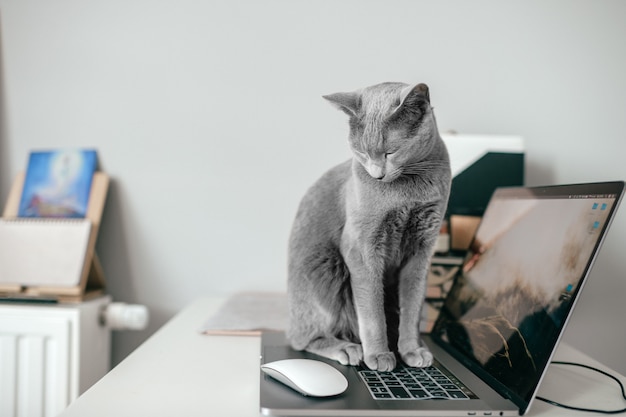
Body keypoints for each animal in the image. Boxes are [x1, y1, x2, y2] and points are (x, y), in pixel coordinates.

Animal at [288, 81, 448, 370]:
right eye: (362, 153)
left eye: (390, 152)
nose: (377, 174)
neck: (409, 190)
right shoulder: (362, 248)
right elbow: (372, 309)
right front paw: (378, 355)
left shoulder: (422, 249)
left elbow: (412, 305)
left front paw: (411, 350)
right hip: (323, 270)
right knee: (303, 338)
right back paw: (347, 348)